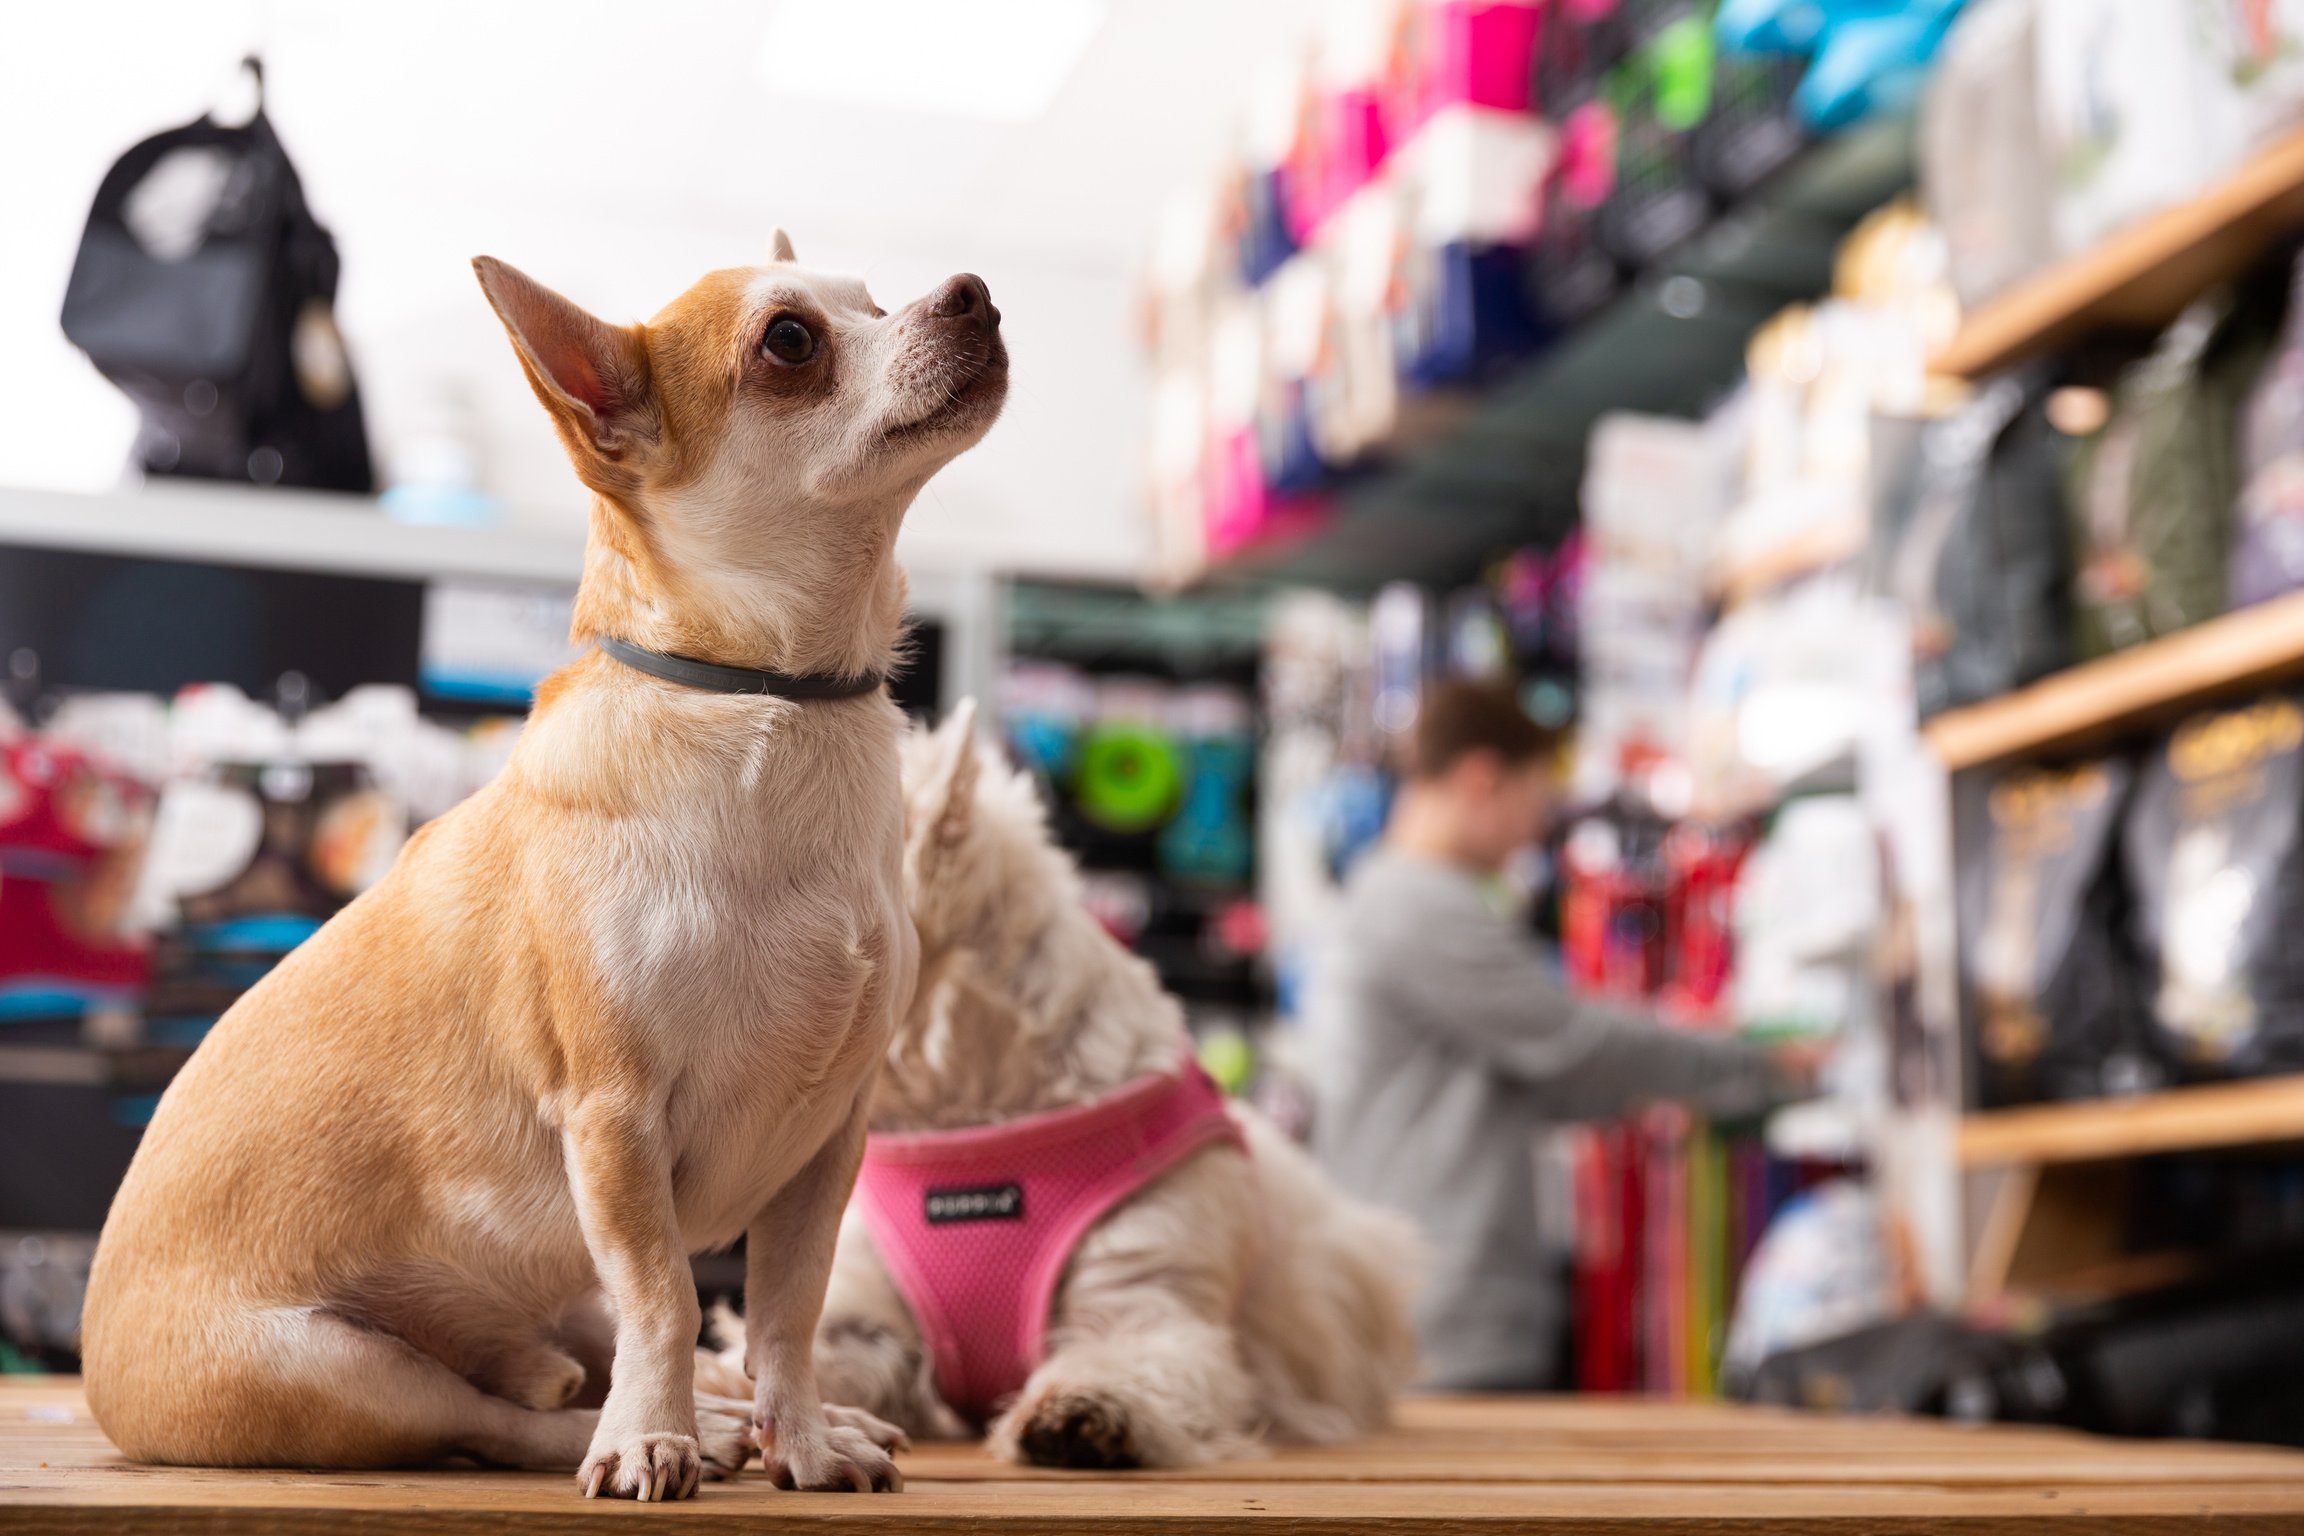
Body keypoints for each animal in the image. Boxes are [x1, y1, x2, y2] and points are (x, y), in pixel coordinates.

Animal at [705, 709, 1419, 1464]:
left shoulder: (1150, 1301)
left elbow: (1134, 1356)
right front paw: (712, 1389)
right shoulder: (866, 1315)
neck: (969, 1117)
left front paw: (1084, 1411)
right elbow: (798, 1348)